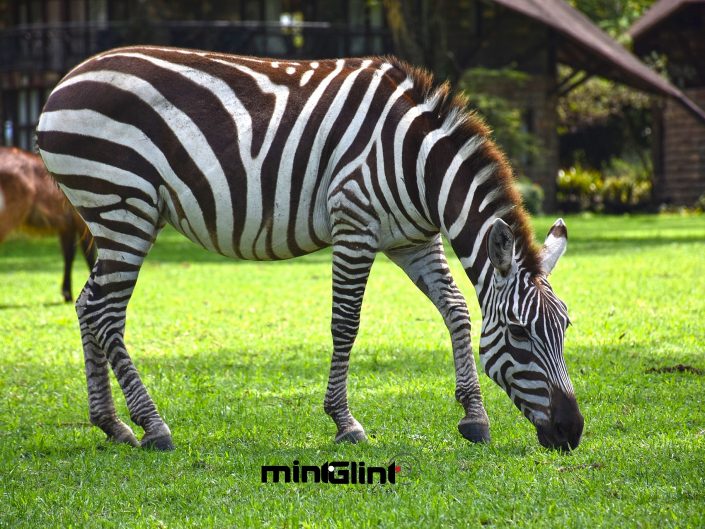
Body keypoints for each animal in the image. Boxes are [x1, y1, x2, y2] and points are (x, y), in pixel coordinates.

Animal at [35, 44, 584, 450]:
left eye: (565, 330)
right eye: (519, 335)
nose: (572, 432)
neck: (417, 162)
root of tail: (64, 81)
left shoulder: (413, 239)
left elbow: (456, 311)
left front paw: (474, 417)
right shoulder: (354, 222)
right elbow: (346, 323)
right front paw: (346, 422)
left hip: (116, 216)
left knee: (87, 304)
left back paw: (112, 425)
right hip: (122, 206)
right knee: (106, 313)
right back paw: (153, 426)